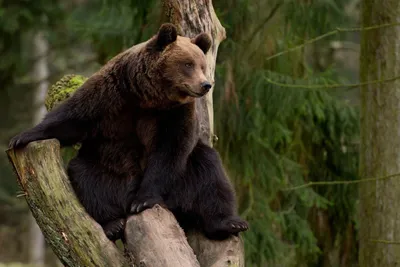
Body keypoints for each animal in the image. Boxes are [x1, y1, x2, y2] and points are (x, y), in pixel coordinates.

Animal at [8, 23, 247, 241]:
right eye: (188, 64)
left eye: (202, 65)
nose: (205, 84)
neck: (148, 97)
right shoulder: (111, 93)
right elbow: (72, 118)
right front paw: (20, 137)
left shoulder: (175, 114)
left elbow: (170, 148)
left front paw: (143, 199)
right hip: (106, 168)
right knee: (85, 177)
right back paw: (112, 223)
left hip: (184, 178)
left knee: (210, 175)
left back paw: (229, 223)